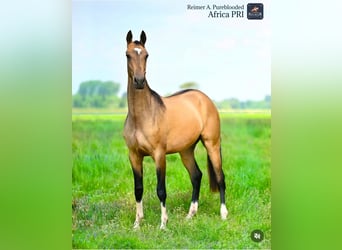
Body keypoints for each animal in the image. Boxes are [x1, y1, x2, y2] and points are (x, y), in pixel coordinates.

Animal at [122, 30, 227, 229]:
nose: (139, 81)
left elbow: (161, 190)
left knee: (220, 177)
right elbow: (138, 189)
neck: (143, 116)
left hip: (212, 144)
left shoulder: (159, 155)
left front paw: (163, 224)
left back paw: (224, 214)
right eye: (127, 55)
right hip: (186, 150)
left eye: (146, 55)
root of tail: (204, 98)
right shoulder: (134, 155)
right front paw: (137, 224)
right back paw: (190, 214)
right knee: (196, 176)